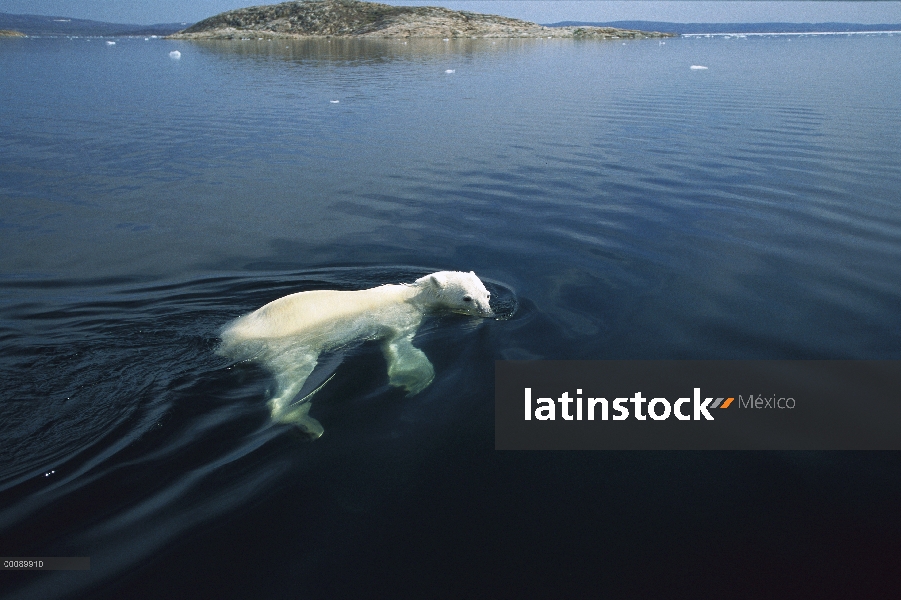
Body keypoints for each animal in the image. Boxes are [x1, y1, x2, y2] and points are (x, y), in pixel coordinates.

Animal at [221, 270, 496, 436]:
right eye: (467, 298)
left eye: (487, 294)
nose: (488, 313)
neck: (413, 296)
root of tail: (228, 342)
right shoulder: (399, 319)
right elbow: (399, 348)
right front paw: (415, 379)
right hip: (290, 349)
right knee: (291, 382)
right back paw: (306, 422)